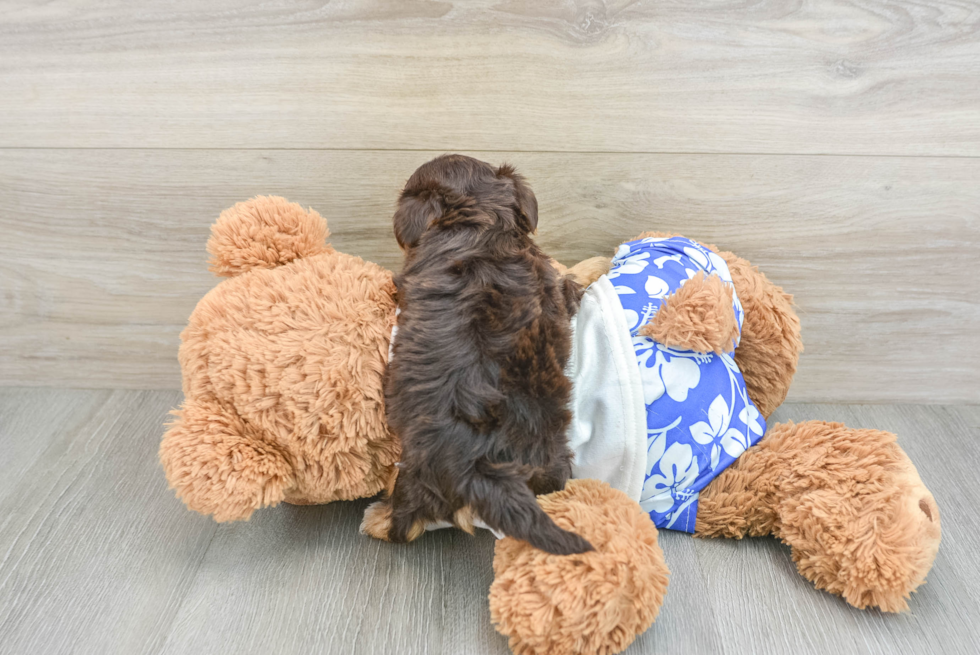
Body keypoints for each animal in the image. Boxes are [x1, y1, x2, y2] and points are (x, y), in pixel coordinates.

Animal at [364, 155, 592, 560]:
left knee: (407, 522)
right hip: (554, 456)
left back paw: (377, 518)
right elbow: (568, 275)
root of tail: (479, 464)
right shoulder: (554, 286)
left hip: (417, 467)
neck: (481, 226)